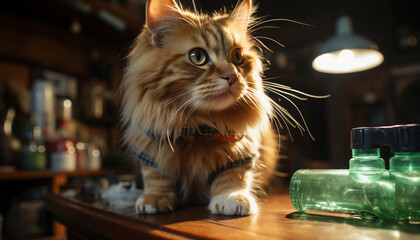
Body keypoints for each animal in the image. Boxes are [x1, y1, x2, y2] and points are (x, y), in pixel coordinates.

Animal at [120, 0, 280, 216]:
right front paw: (155, 198)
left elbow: (234, 177)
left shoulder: (241, 147)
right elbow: (155, 176)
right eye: (198, 56)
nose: (232, 76)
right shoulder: (150, 141)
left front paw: (232, 198)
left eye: (237, 56)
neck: (197, 126)